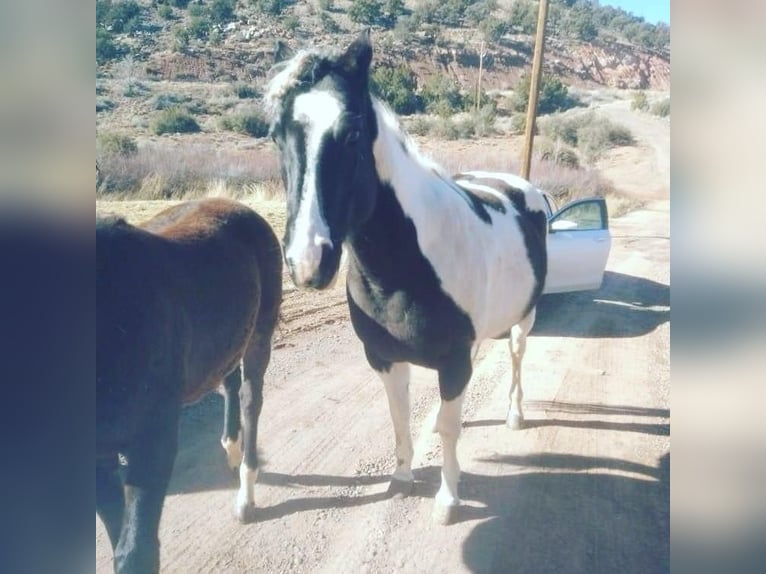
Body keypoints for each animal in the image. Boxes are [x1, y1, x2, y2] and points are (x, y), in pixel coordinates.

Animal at [97, 199, 284, 574]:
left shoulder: (153, 441)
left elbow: (136, 551)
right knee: (229, 381)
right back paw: (230, 449)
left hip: (260, 333)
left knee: (250, 399)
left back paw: (245, 495)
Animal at [268, 32, 548, 528]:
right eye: (276, 134)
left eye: (352, 133)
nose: (307, 261)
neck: (407, 263)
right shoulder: (384, 358)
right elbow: (399, 416)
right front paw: (401, 478)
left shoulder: (453, 360)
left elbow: (452, 432)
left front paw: (448, 499)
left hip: (524, 319)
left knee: (516, 358)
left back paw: (515, 414)